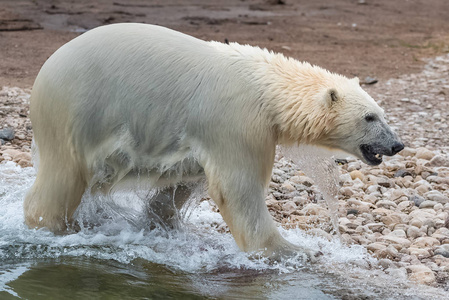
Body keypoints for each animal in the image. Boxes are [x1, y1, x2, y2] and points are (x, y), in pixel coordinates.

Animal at [24, 23, 402, 258]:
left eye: (382, 113)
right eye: (369, 117)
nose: (396, 144)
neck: (267, 86)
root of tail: (47, 70)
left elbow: (185, 178)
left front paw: (162, 223)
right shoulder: (239, 121)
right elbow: (238, 189)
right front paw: (298, 250)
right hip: (77, 112)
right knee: (62, 177)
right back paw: (53, 227)